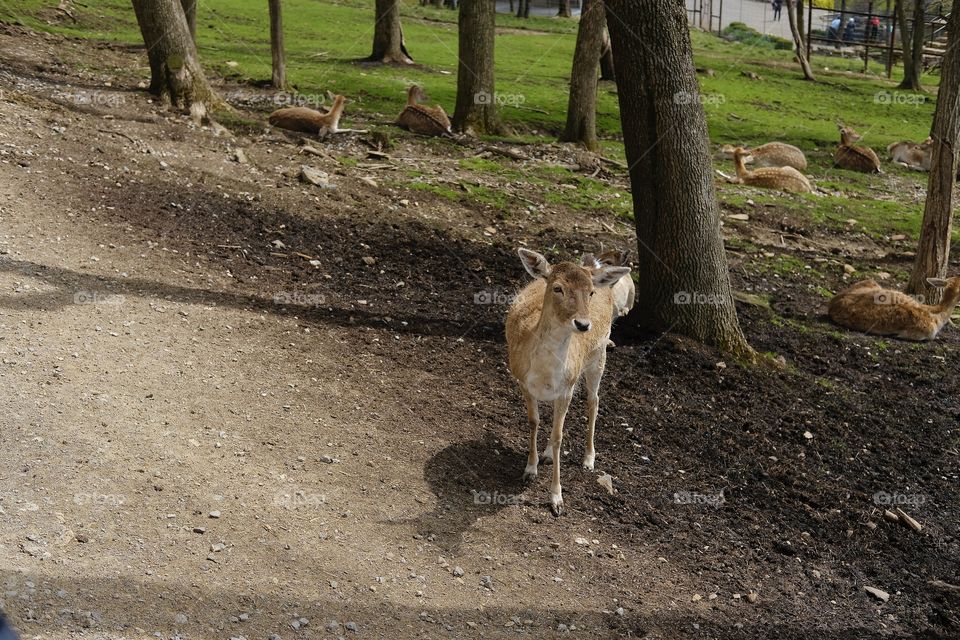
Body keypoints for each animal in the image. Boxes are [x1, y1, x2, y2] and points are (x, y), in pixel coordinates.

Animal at [506, 249, 632, 516]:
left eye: (590, 292)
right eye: (557, 288)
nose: (583, 324)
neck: (544, 371)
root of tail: (596, 269)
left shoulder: (567, 387)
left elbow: (559, 437)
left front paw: (557, 499)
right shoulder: (523, 381)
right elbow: (534, 422)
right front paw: (530, 469)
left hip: (598, 357)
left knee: (593, 401)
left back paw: (588, 459)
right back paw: (546, 455)